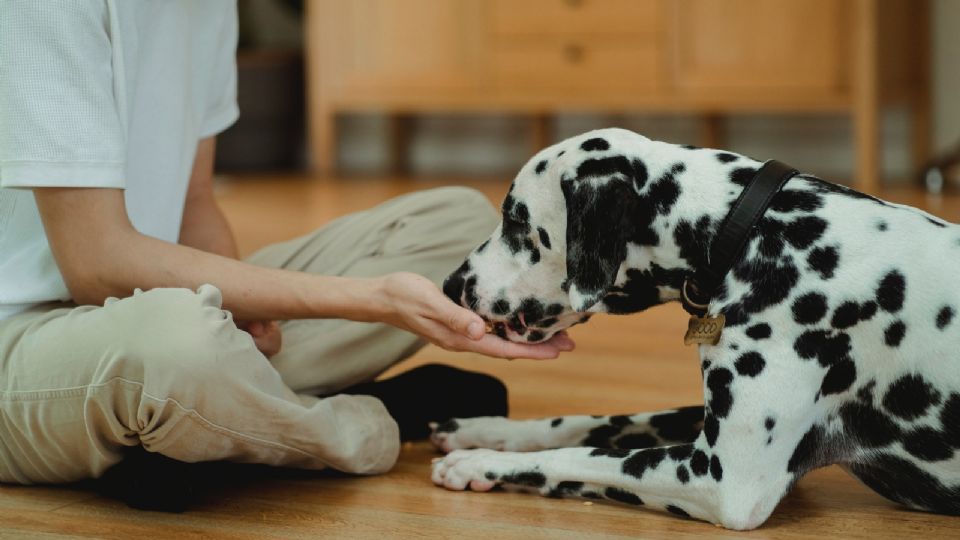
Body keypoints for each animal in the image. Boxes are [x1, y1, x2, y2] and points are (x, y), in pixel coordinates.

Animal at [434, 127, 960, 532]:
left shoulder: (720, 479)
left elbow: (579, 455)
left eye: (515, 219)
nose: (449, 284)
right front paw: (486, 431)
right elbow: (588, 422)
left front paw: (481, 461)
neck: (750, 231)